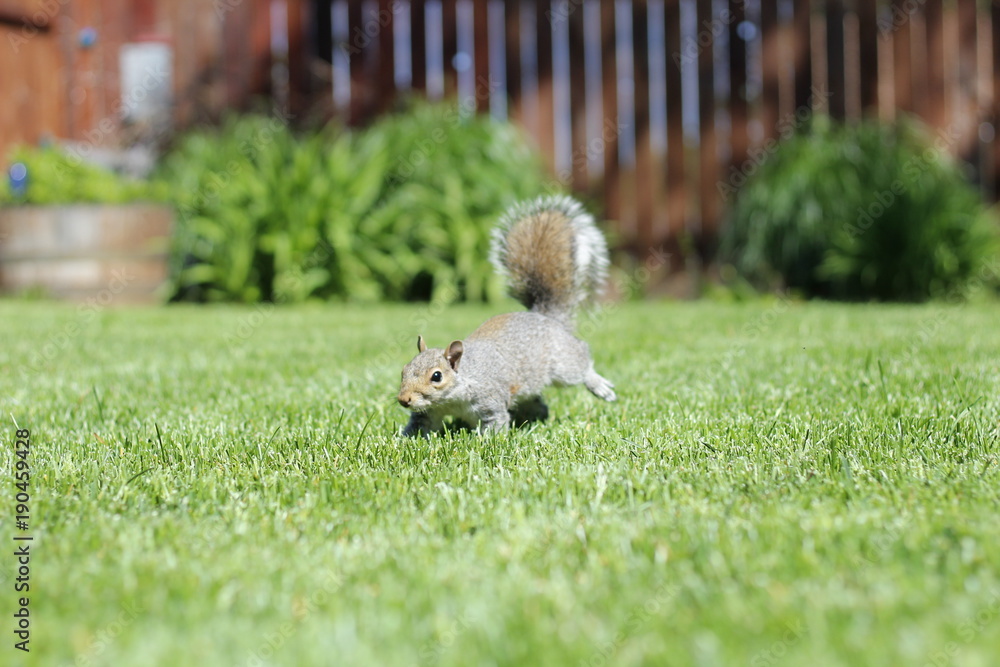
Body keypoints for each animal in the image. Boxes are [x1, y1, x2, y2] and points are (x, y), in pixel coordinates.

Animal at [397, 194, 616, 437]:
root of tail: (547, 317)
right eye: (404, 370)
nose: (403, 399)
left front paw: (481, 441)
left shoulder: (490, 401)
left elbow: (496, 423)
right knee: (538, 403)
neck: (453, 397)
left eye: (437, 376)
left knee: (580, 365)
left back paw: (598, 385)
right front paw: (403, 439)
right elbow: (419, 427)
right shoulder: (428, 414)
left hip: (563, 363)